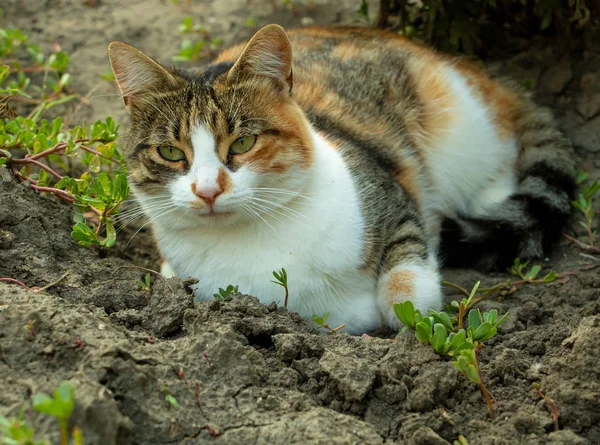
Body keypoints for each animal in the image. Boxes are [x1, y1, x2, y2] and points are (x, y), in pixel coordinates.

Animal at [109, 22, 576, 332]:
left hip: (461, 127)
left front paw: (412, 318)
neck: (252, 240)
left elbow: (407, 263)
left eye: (242, 143)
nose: (207, 191)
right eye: (171, 153)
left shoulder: (391, 195)